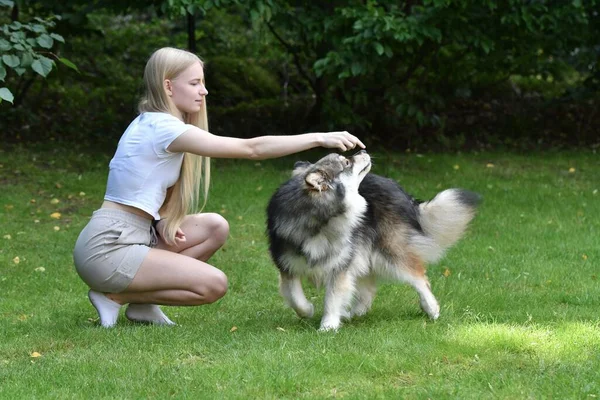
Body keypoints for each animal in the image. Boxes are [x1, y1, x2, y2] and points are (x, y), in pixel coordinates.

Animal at [264, 151, 480, 332]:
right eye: (347, 162)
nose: (363, 150)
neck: (319, 221)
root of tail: (397, 188)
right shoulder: (288, 267)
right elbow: (295, 298)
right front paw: (308, 310)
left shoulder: (339, 266)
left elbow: (332, 298)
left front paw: (328, 325)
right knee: (368, 288)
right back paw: (353, 313)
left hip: (389, 252)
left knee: (419, 277)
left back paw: (431, 308)